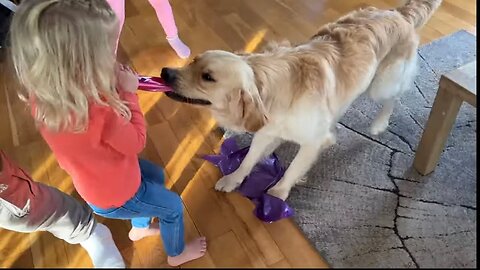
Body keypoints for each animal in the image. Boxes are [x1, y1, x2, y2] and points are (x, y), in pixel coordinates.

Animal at [160, 0, 442, 200]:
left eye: (207, 77)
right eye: (194, 61)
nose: (165, 72)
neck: (271, 92)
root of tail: (397, 13)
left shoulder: (313, 142)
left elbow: (295, 166)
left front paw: (279, 192)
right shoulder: (265, 131)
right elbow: (250, 158)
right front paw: (233, 179)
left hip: (381, 84)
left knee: (393, 98)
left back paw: (379, 123)